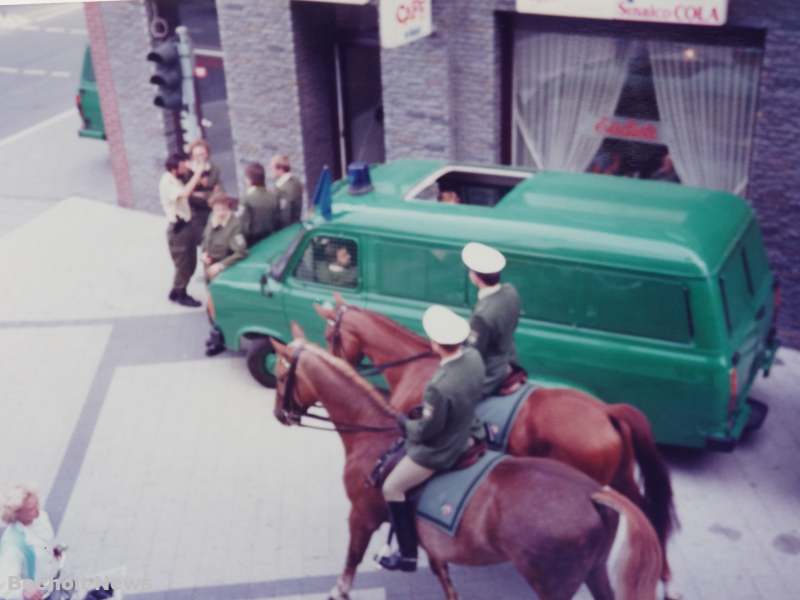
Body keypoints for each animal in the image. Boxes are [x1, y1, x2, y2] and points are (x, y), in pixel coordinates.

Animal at [316, 296, 680, 596]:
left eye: (331, 337)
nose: (335, 364)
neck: (417, 368)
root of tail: (606, 411)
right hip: (620, 480)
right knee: (649, 514)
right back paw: (665, 579)